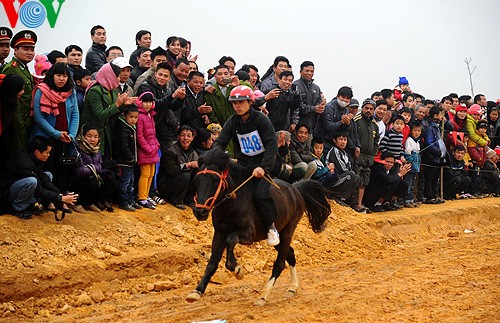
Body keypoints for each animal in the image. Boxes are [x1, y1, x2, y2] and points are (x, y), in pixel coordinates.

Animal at [185, 149, 332, 306]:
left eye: (215, 180)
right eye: (197, 180)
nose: (200, 212)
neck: (232, 202)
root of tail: (296, 189)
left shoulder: (249, 234)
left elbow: (231, 239)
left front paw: (237, 269)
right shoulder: (219, 233)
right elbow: (212, 263)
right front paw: (196, 292)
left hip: (288, 231)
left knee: (279, 264)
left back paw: (263, 296)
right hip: (280, 237)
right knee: (291, 254)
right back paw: (292, 288)